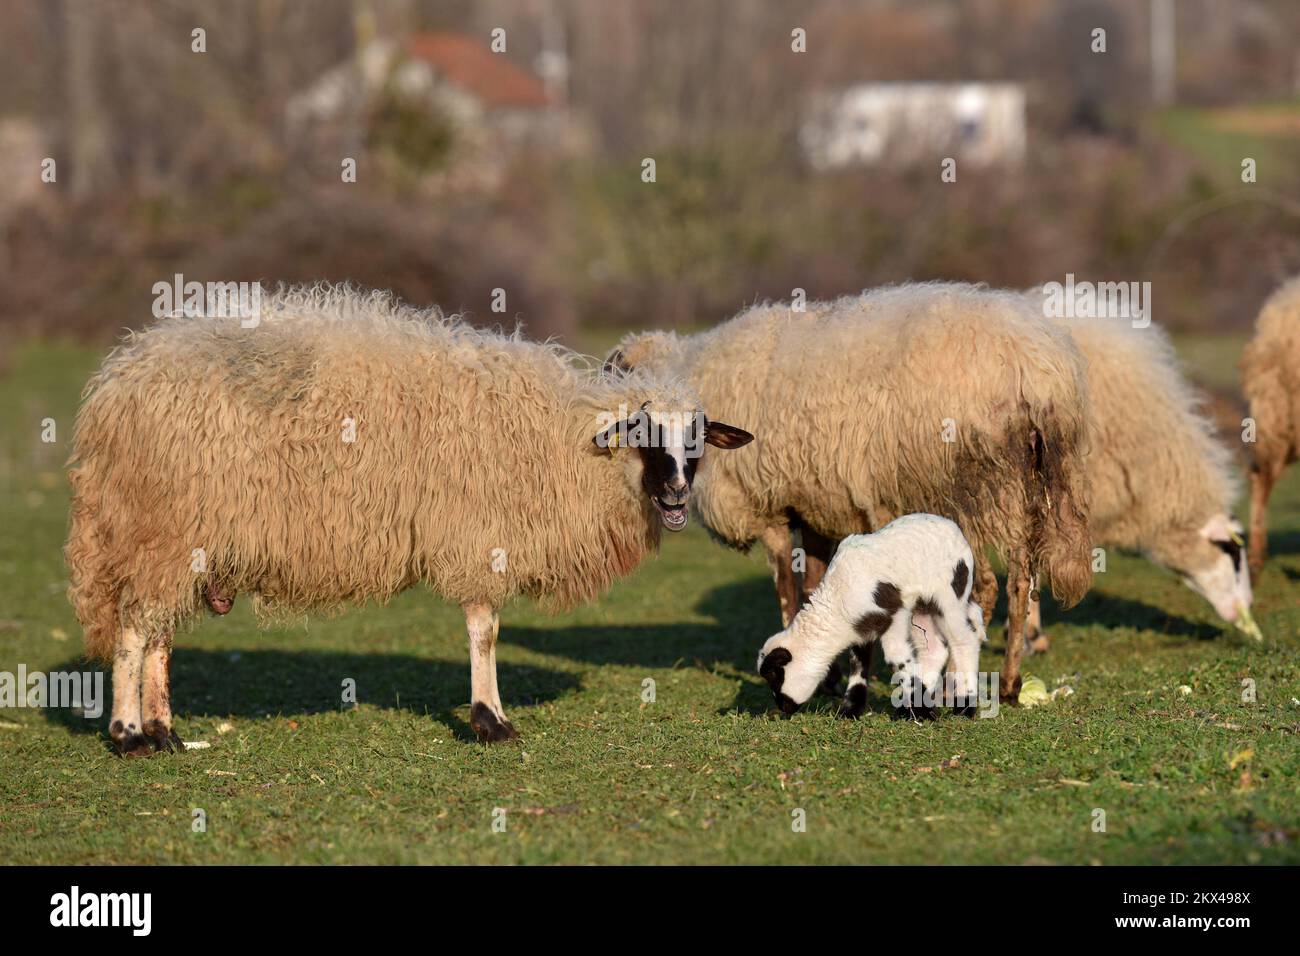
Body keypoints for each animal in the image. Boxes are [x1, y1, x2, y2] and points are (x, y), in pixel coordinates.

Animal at [63, 283, 754, 754]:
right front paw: (490, 721)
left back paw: (166, 732)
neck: (567, 445)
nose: (676, 495)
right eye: (644, 436)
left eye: (696, 442)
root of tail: (117, 381)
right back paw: (129, 735)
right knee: (135, 629)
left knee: (159, 633)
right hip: (161, 525)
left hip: (179, 539)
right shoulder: (478, 535)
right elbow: (485, 631)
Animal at [754, 515, 982, 717]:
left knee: (965, 641)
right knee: (934, 649)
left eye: (774, 674)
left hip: (951, 594)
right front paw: (850, 711)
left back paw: (964, 707)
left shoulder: (891, 614)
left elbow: (897, 659)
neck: (836, 600)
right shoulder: (861, 624)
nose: (781, 707)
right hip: (921, 607)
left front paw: (922, 714)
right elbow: (858, 664)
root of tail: (953, 527)